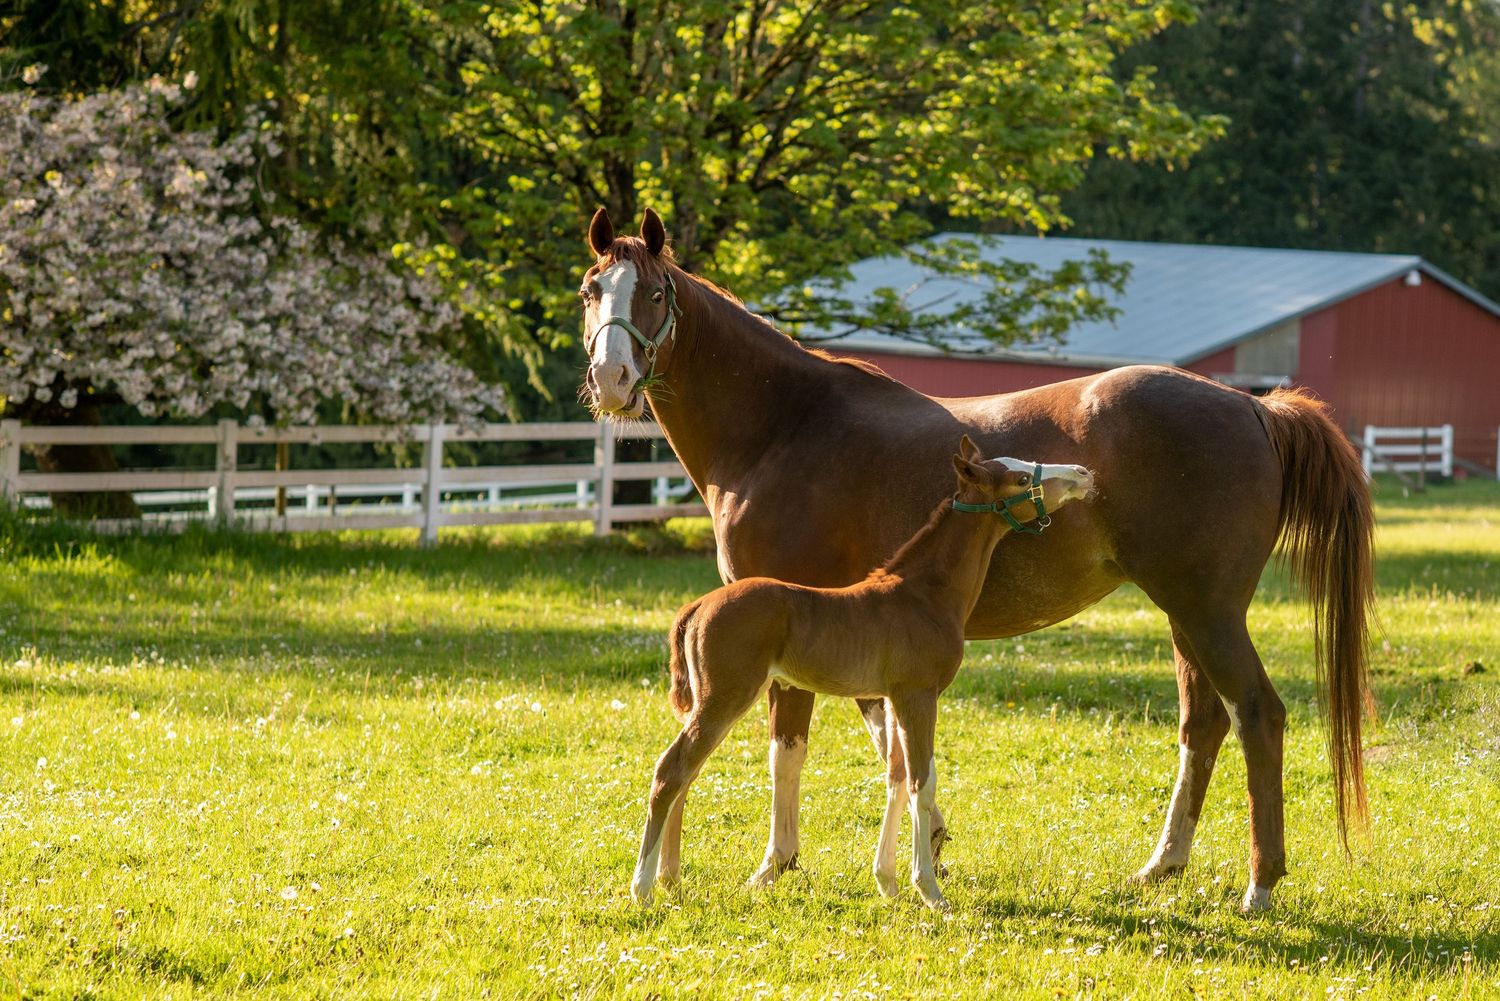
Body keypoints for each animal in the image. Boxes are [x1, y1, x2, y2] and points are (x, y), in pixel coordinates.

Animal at [631, 438, 1097, 909]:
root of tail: (698, 605)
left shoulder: (893, 698)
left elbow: (895, 778)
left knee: (687, 773)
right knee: (671, 770)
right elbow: (921, 783)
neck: (926, 593)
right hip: (726, 696)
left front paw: (887, 882)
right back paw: (643, 888)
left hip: (712, 701)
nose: (1083, 473)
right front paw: (930, 891)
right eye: (1019, 478)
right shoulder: (918, 694)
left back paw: (671, 880)